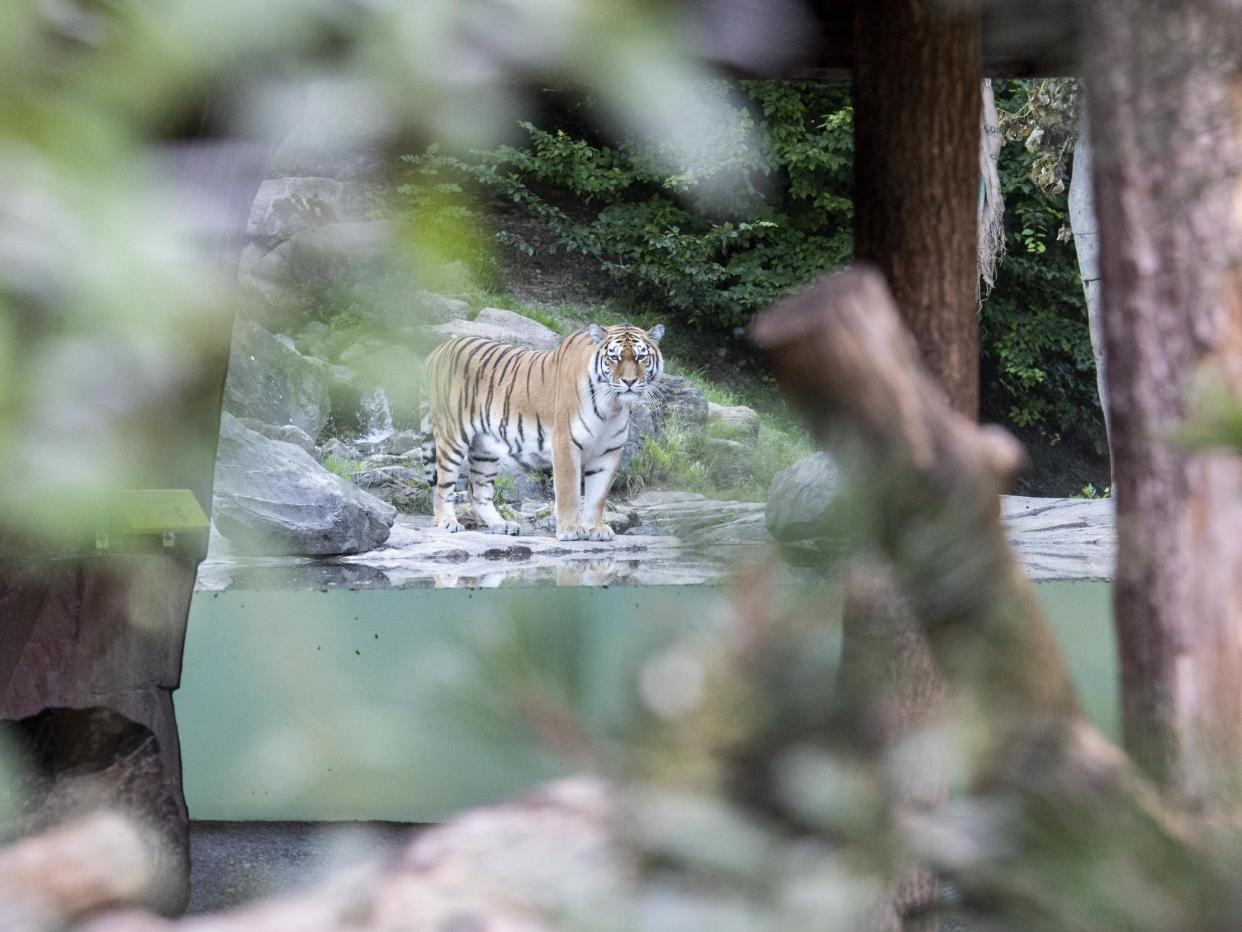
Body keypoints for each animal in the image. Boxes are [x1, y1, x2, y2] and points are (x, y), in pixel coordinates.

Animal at [422, 323, 665, 544]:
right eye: (614, 357)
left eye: (641, 357)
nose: (629, 381)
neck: (612, 406)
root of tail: (438, 350)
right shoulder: (565, 443)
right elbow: (569, 492)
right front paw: (570, 530)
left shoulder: (608, 452)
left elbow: (597, 496)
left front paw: (595, 529)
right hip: (452, 437)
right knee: (442, 485)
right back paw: (447, 522)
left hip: (485, 449)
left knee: (477, 491)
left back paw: (502, 525)